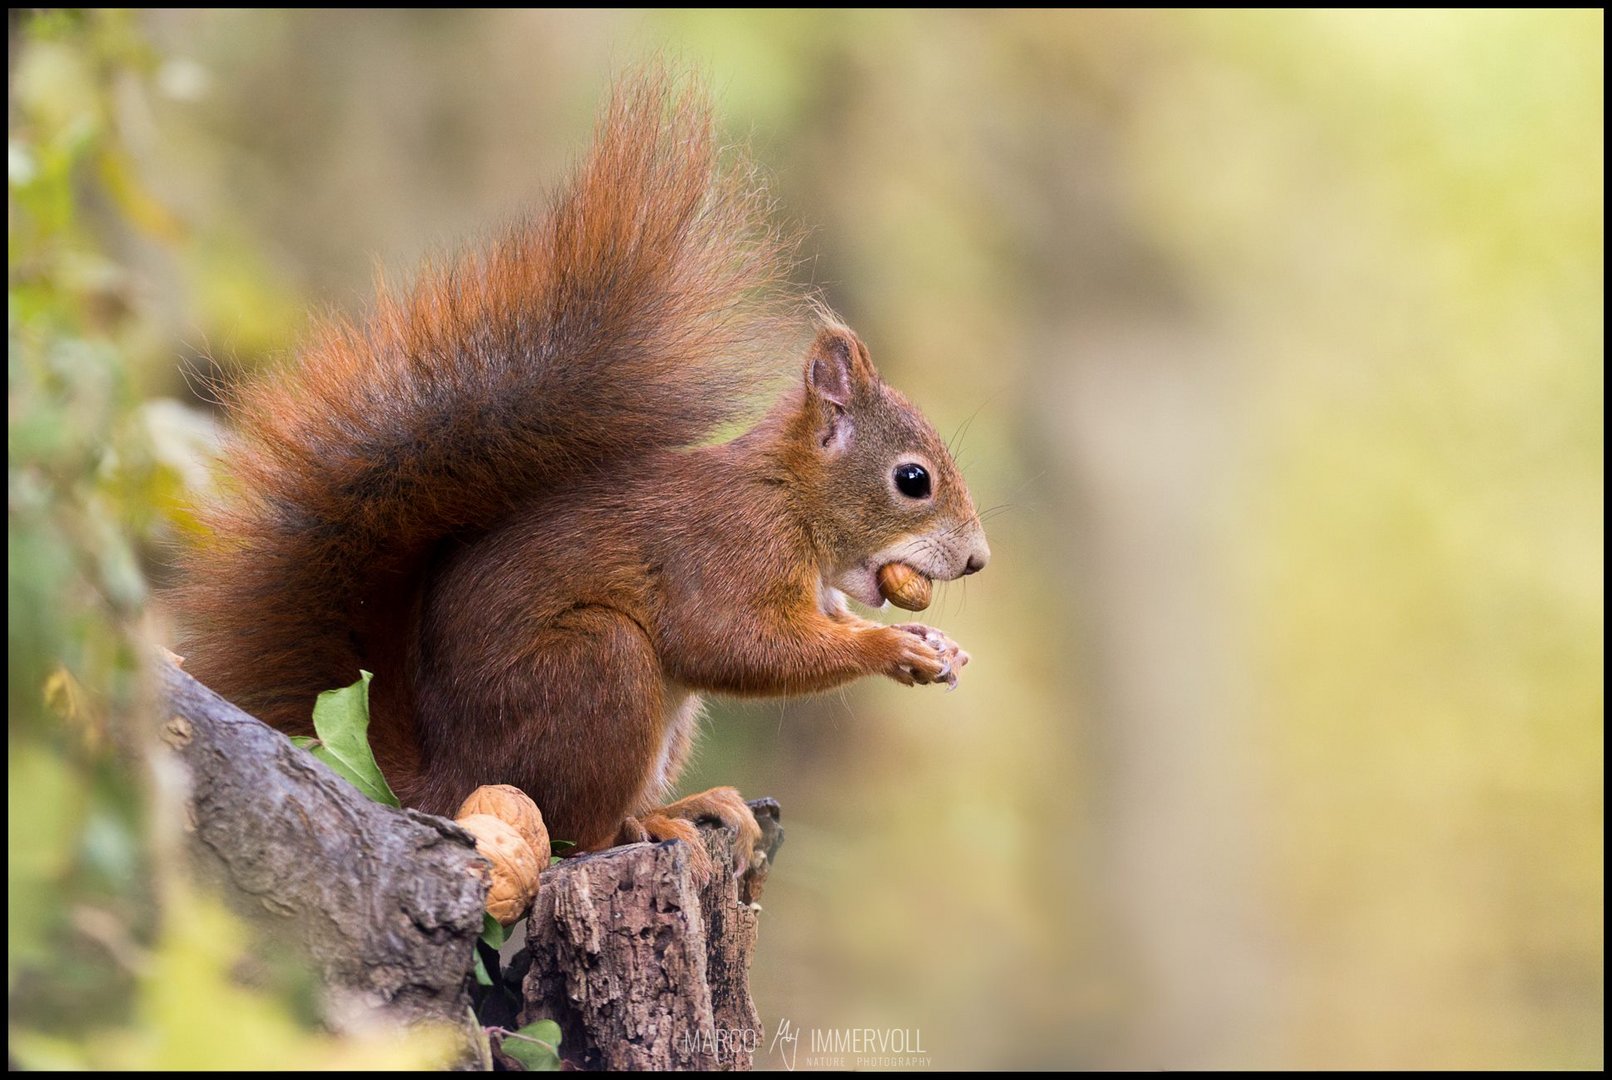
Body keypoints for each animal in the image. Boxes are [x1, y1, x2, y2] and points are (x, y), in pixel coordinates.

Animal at [173, 74, 980, 876]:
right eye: (913, 480)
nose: (978, 560)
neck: (793, 501)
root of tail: (446, 774)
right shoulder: (728, 551)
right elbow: (737, 645)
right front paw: (891, 649)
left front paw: (936, 646)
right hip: (597, 669)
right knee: (577, 831)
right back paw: (649, 823)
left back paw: (686, 805)